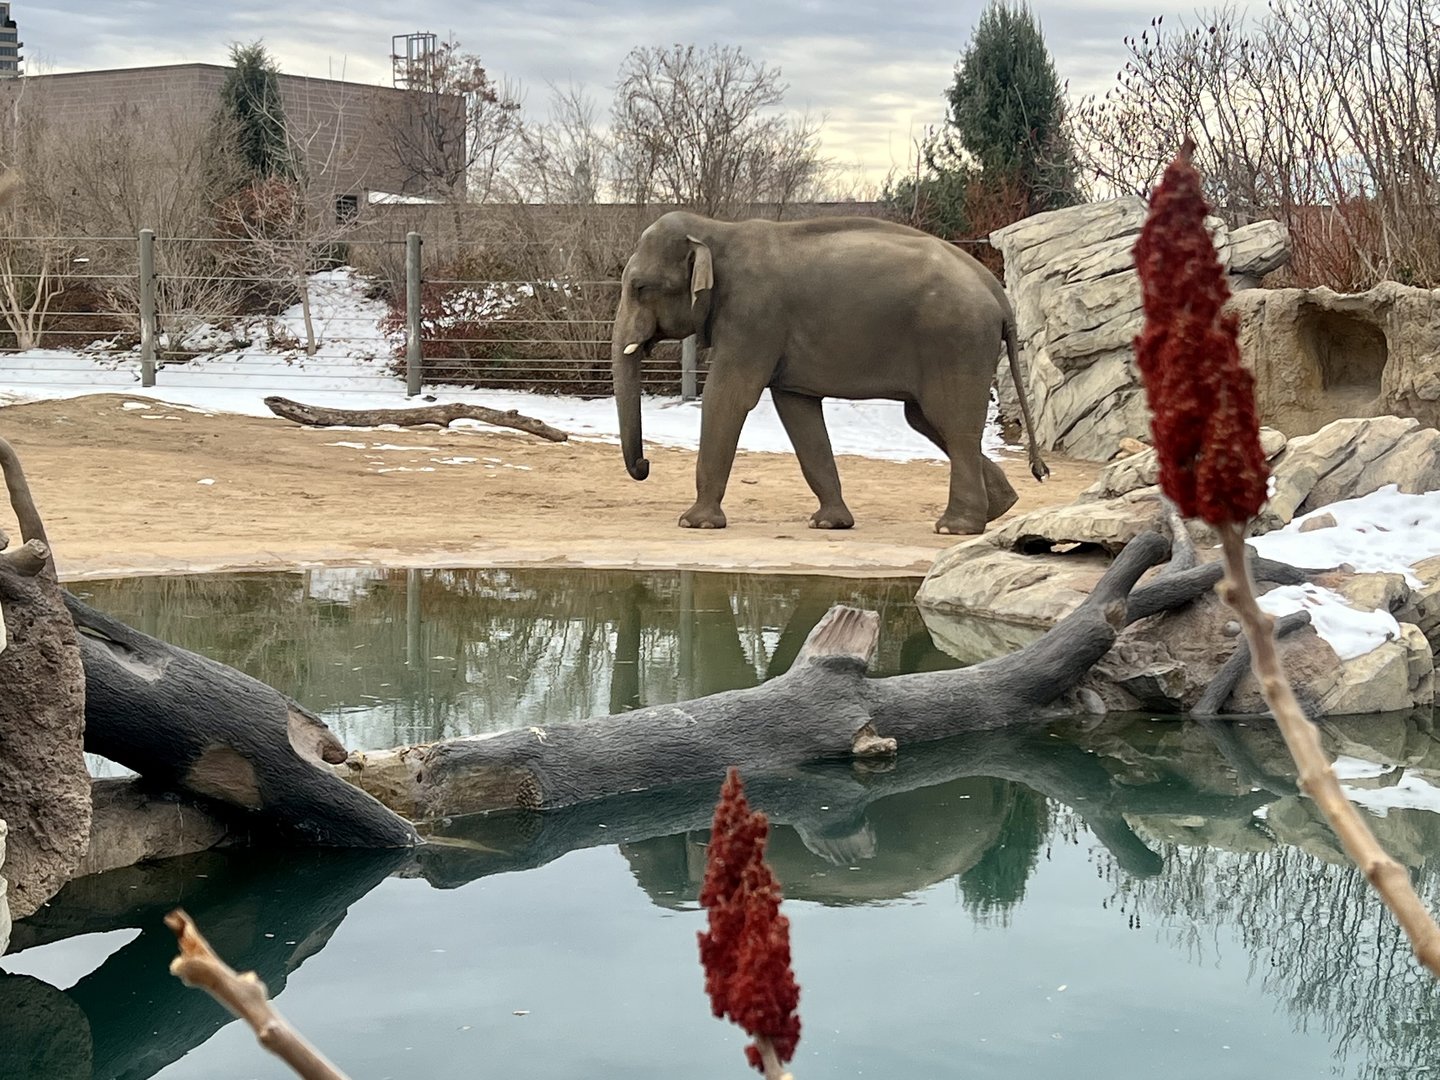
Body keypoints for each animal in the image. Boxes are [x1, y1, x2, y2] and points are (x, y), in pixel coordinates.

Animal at [610, 211, 1049, 535]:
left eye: (640, 288)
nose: (645, 467)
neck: (716, 231)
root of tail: (999, 295)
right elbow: (796, 409)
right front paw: (829, 524)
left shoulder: (753, 317)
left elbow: (729, 395)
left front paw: (694, 523)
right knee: (928, 420)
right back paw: (1000, 507)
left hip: (955, 340)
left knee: (951, 423)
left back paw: (955, 528)